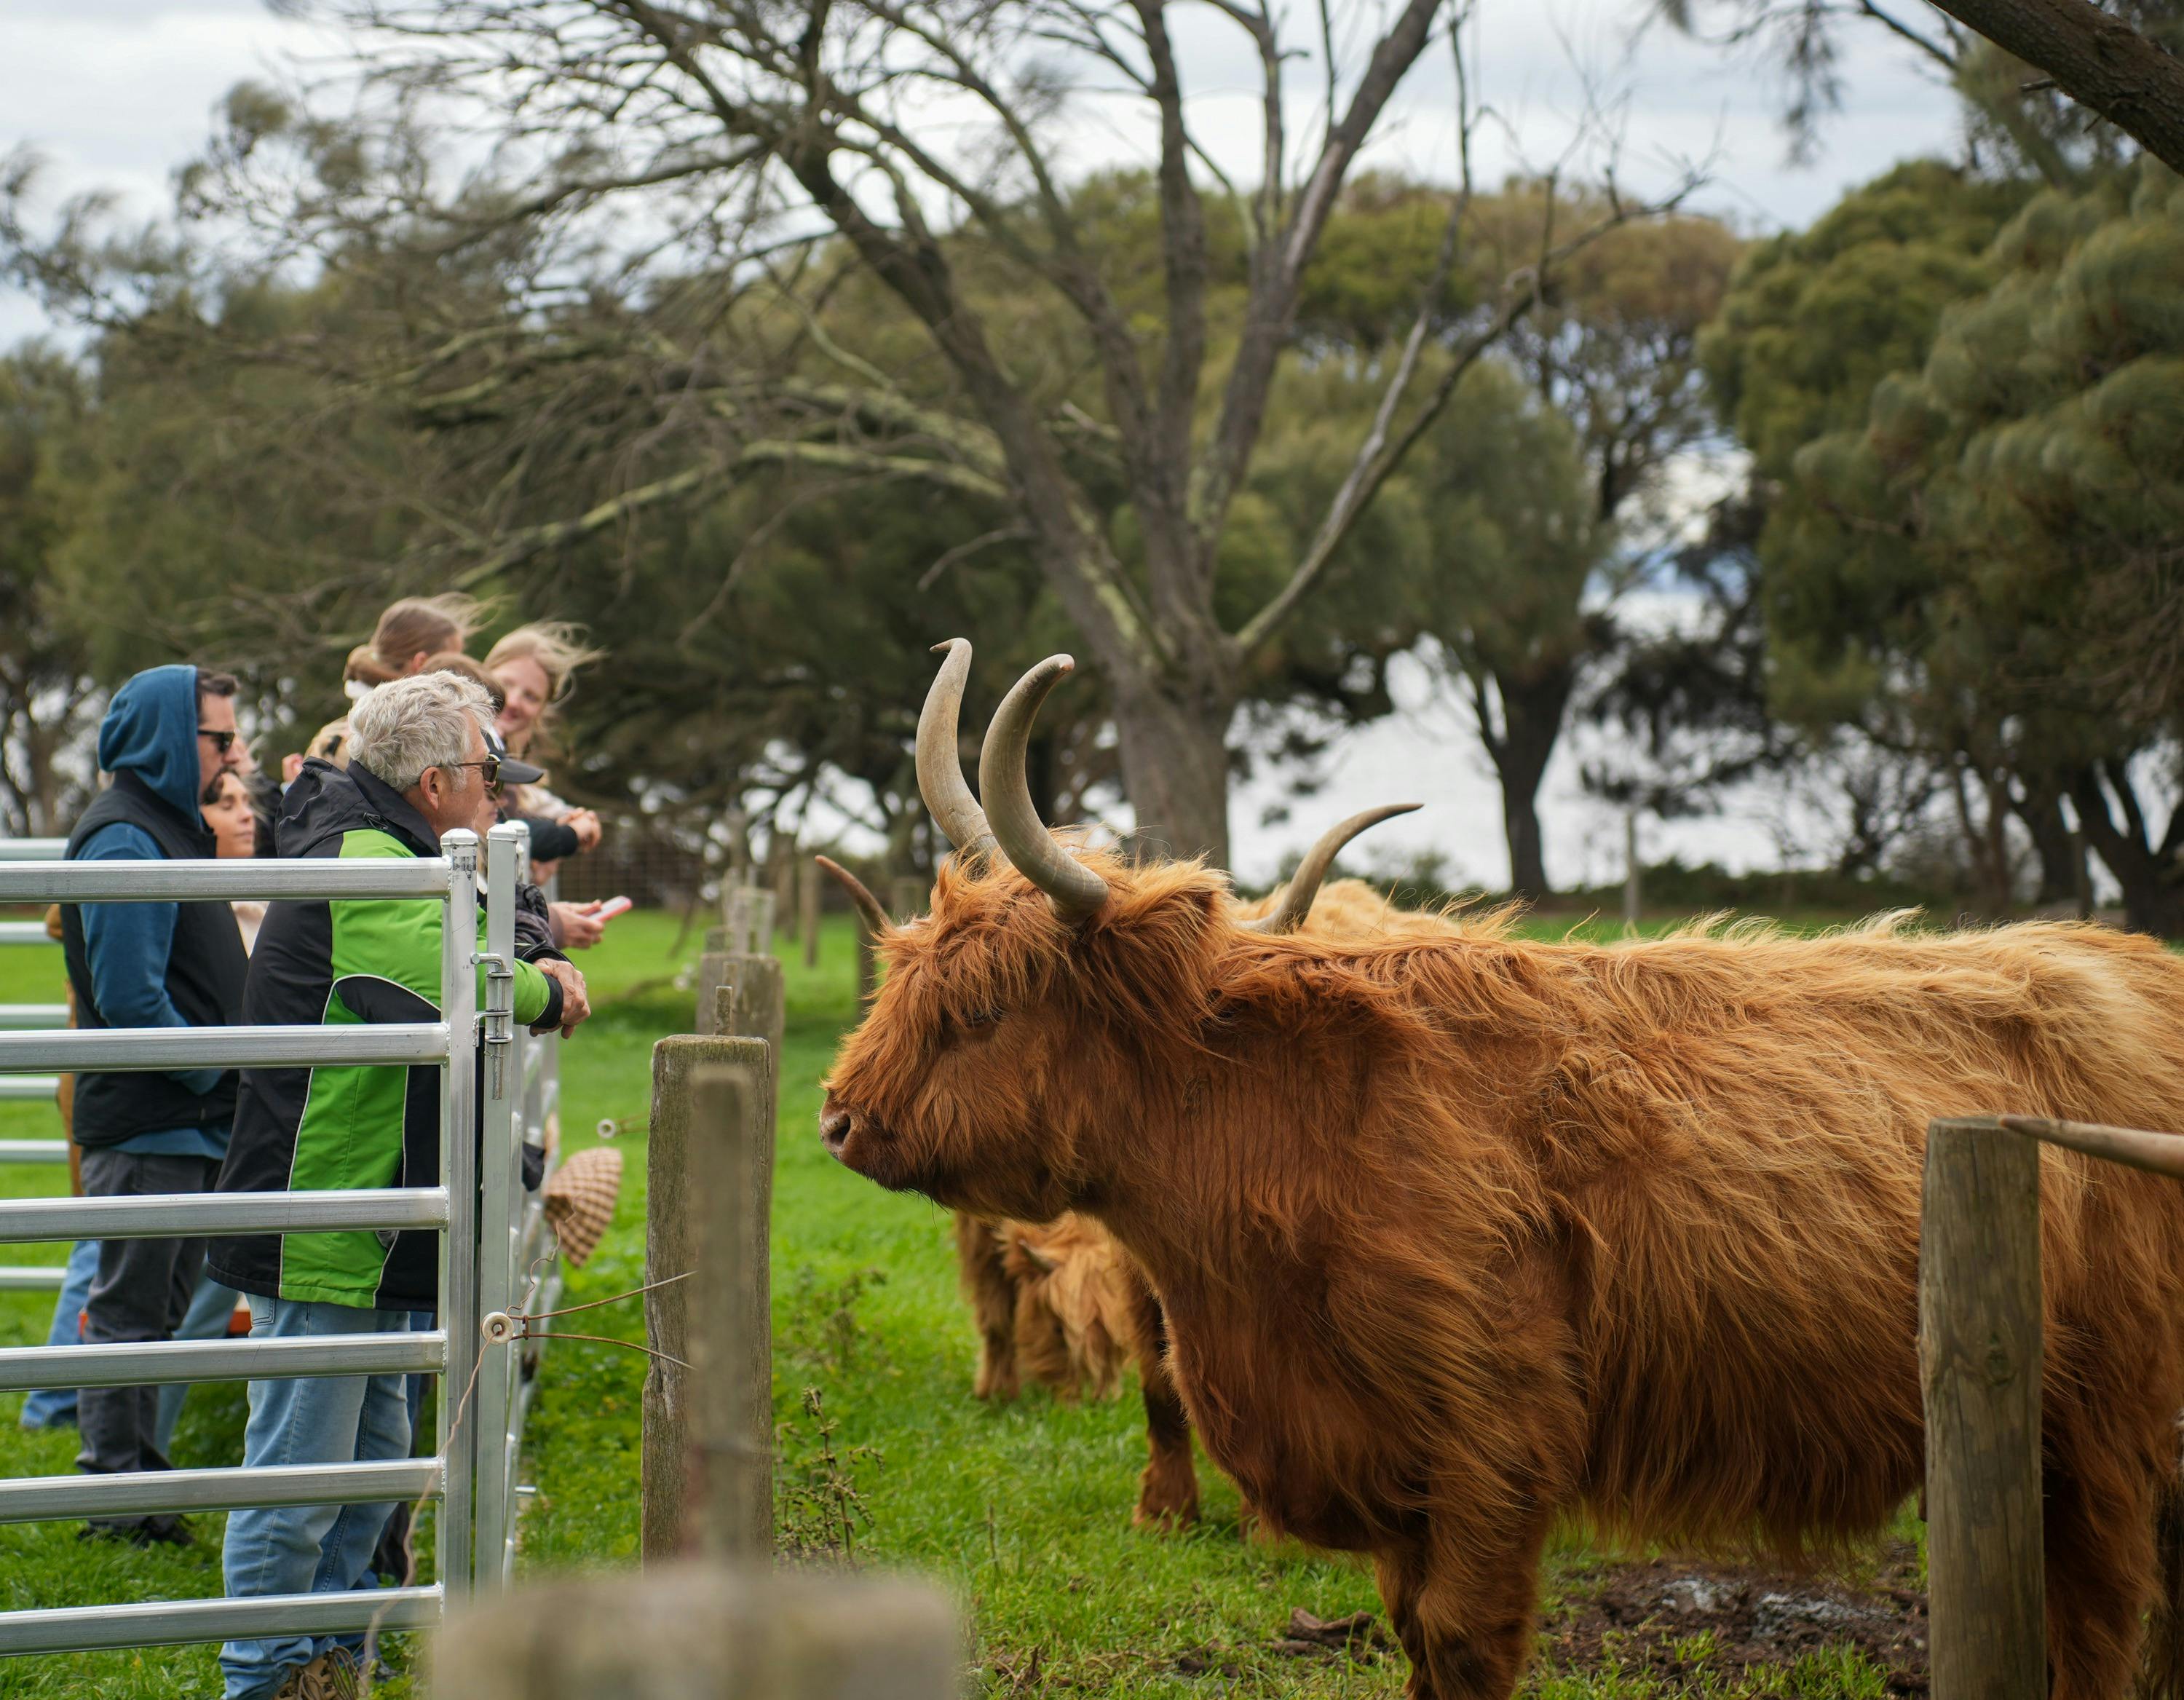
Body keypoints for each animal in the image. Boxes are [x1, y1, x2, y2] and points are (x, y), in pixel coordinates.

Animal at [821, 645, 2184, 1700]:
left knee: (2100, 1618)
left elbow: (1465, 1646)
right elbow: (1416, 1642)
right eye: (904, 969)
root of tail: (2130, 957)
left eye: (984, 1007)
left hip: (2098, 1424)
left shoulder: (1492, 1436)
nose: (836, 1117)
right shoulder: (1388, 1466)